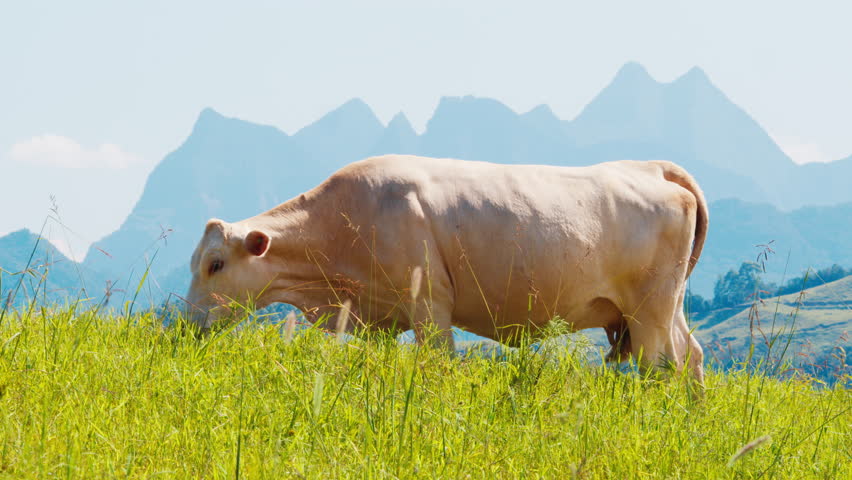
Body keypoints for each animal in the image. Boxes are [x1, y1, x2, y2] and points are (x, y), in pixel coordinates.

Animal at [185, 155, 708, 383]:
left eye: (215, 264)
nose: (187, 327)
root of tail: (649, 167)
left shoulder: (429, 304)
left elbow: (438, 364)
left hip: (649, 309)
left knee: (664, 366)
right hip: (668, 306)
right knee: (693, 356)